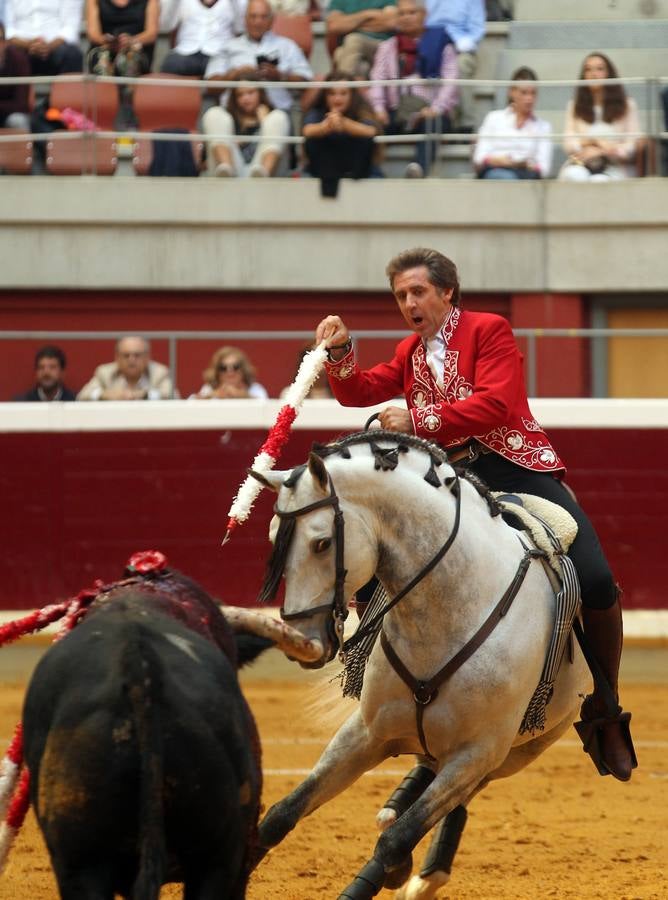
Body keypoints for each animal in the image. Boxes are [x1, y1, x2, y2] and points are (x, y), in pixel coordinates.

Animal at [252, 432, 588, 896]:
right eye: (272, 539)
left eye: (321, 542)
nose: (303, 641)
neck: (445, 612)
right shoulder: (367, 731)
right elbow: (280, 815)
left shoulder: (477, 752)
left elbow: (395, 841)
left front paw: (394, 869)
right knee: (425, 775)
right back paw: (398, 809)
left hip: (519, 751)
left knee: (453, 802)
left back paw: (424, 873)